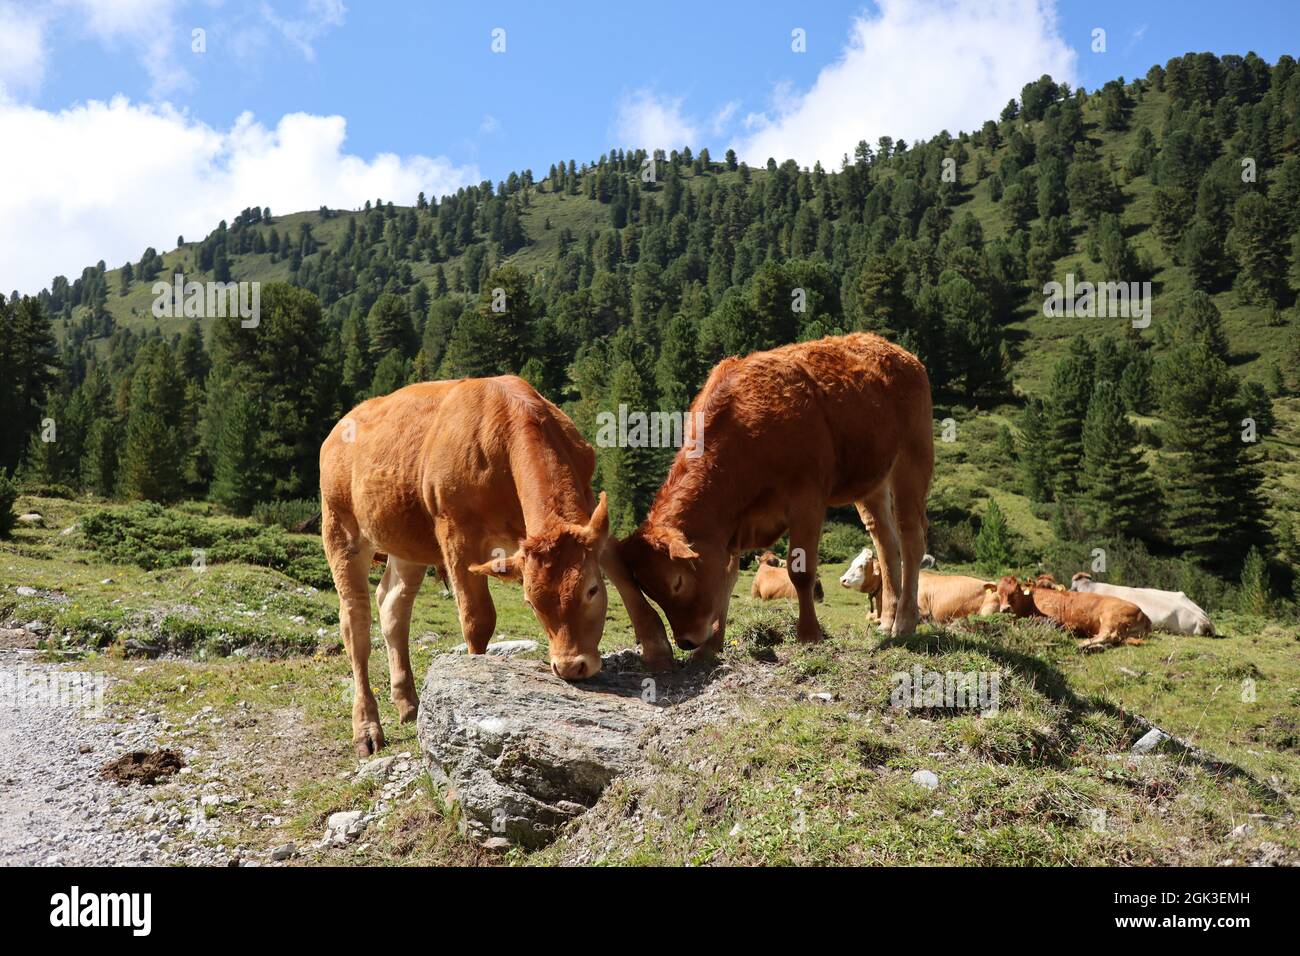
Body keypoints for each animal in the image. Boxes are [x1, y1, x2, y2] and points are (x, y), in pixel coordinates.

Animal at [319, 374, 670, 754]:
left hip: (405, 543)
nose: (570, 666)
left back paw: (408, 704)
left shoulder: (586, 506)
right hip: (340, 529)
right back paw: (367, 727)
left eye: (592, 590)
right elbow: (477, 619)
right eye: (530, 602)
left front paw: (658, 646)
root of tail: (342, 425)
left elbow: (619, 565)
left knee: (392, 606)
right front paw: (472, 681)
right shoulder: (456, 533)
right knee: (355, 624)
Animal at [621, 332, 935, 655]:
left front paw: (809, 634)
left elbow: (801, 571)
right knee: (885, 541)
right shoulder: (732, 525)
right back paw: (887, 620)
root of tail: (899, 353)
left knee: (910, 537)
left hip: (913, 458)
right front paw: (712, 645)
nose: (685, 641)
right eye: (650, 591)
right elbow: (727, 578)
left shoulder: (806, 501)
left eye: (677, 583)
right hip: (871, 481)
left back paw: (904, 623)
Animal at [993, 574, 1149, 650]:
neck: (1031, 600)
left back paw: (1081, 644)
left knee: (1107, 634)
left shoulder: (1053, 617)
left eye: (1015, 592)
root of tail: (1143, 614)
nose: (1005, 608)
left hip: (1110, 616)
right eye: (998, 593)